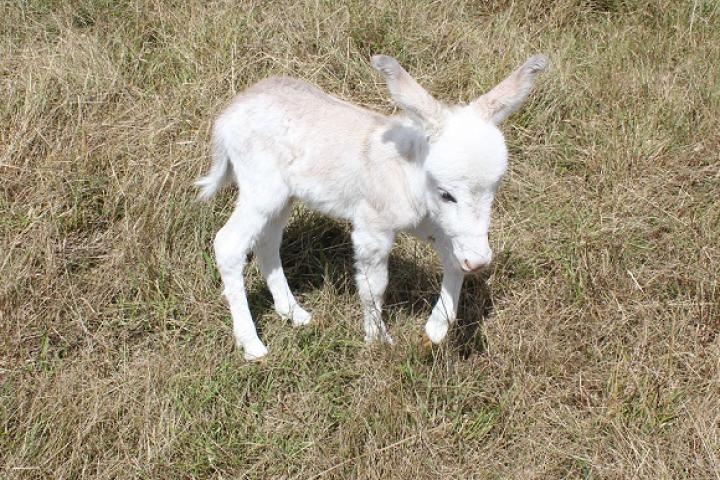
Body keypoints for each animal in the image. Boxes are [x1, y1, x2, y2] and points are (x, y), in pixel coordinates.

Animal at [197, 52, 544, 360]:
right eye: (447, 194)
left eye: (494, 190)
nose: (480, 261)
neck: (409, 171)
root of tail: (228, 115)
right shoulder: (373, 227)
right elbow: (375, 285)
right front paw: (377, 340)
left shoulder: (433, 225)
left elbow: (453, 262)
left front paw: (434, 332)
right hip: (260, 188)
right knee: (228, 244)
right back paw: (252, 346)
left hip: (282, 197)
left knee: (267, 241)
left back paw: (294, 314)